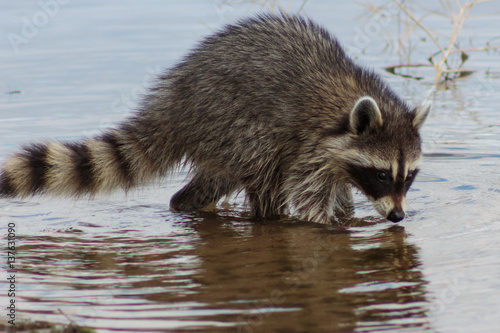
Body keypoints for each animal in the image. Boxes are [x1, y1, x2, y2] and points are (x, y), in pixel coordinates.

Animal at [0, 12, 430, 223]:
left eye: (408, 177)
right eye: (381, 175)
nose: (397, 217)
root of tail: (176, 100)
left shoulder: (336, 155)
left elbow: (338, 190)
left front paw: (349, 211)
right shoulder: (310, 144)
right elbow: (307, 193)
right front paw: (327, 223)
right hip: (234, 125)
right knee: (264, 172)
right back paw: (266, 217)